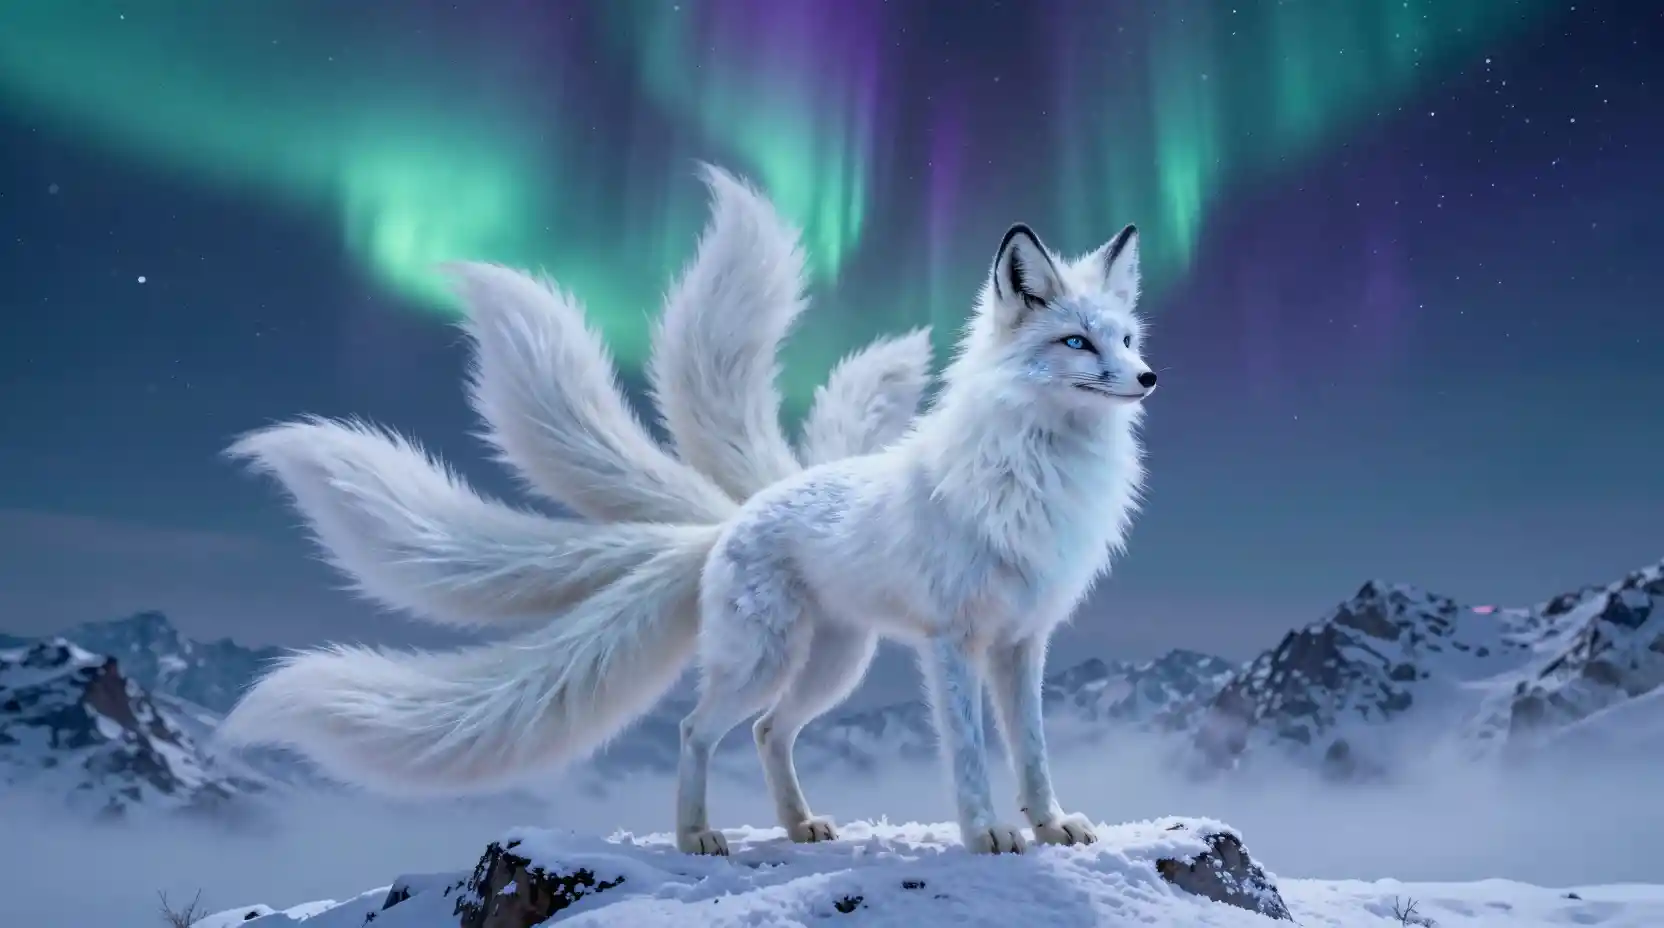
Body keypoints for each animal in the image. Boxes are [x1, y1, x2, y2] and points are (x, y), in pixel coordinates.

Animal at [218, 167, 1156, 857]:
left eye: (1126, 339)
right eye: (1076, 343)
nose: (1148, 378)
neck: (1037, 470)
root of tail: (730, 517)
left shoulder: (1022, 641)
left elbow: (1033, 749)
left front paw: (1051, 825)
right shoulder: (954, 642)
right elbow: (968, 752)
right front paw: (987, 833)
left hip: (831, 665)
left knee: (769, 733)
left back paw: (798, 825)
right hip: (767, 662)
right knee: (694, 729)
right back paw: (696, 835)